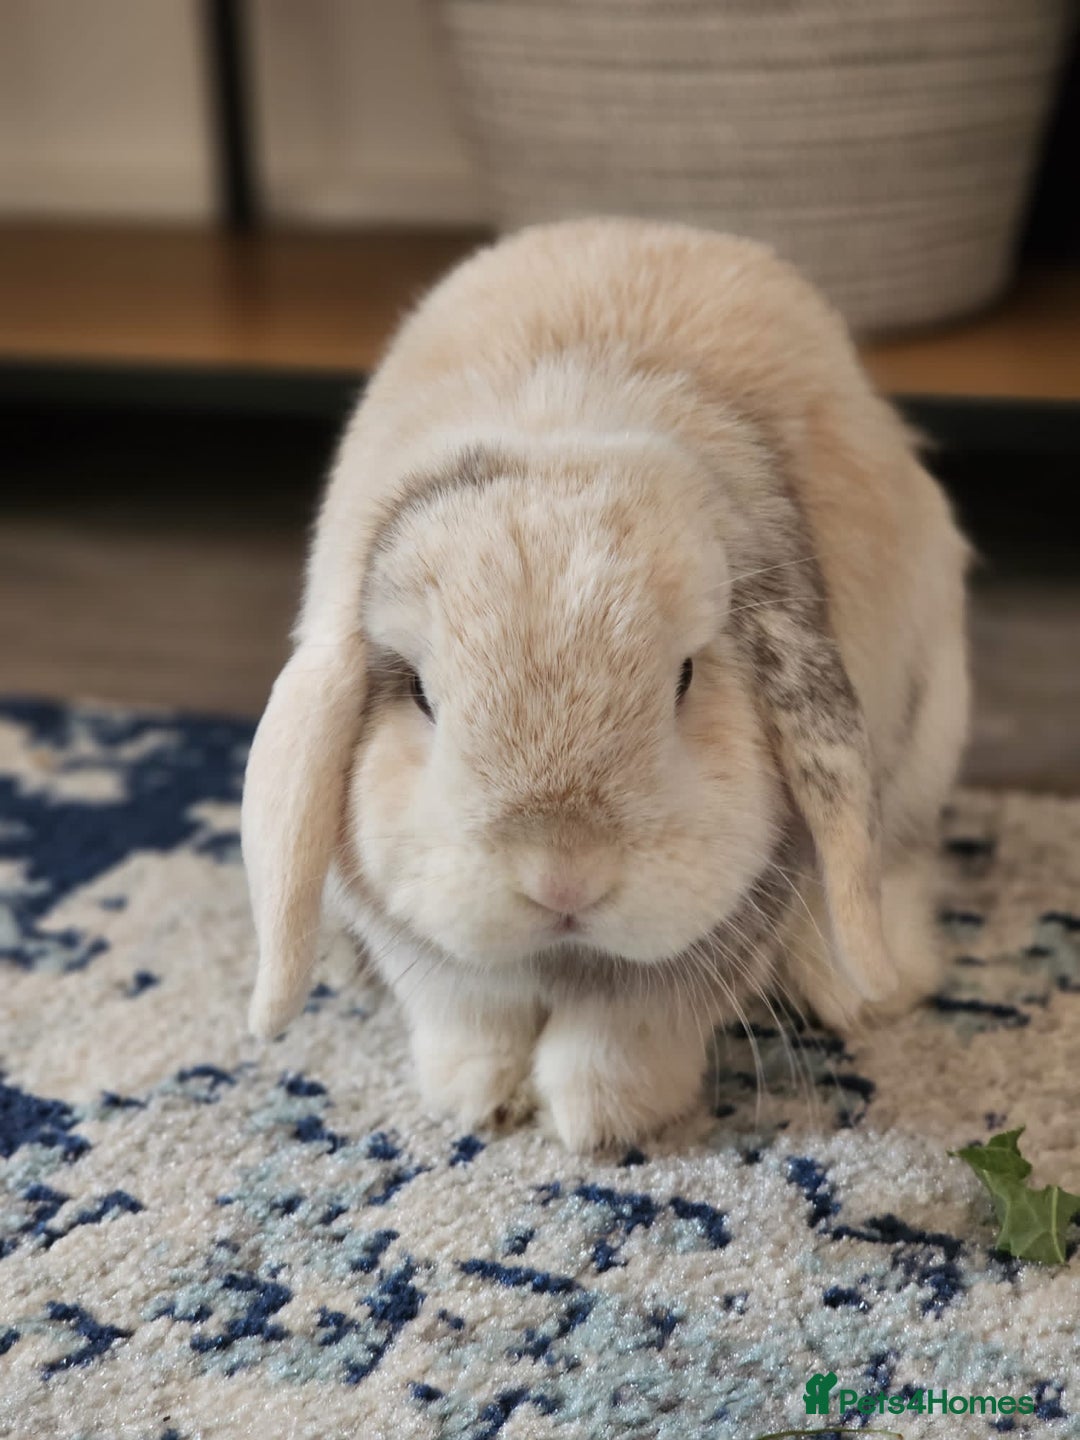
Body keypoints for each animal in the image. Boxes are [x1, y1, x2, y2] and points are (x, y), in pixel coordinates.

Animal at [241, 217, 970, 1152]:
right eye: (421, 695)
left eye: (685, 678)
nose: (563, 879)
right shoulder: (434, 955)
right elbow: (469, 1013)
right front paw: (482, 1102)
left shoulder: (721, 925)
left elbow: (625, 1033)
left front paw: (591, 1123)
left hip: (924, 739)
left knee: (898, 859)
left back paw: (868, 986)